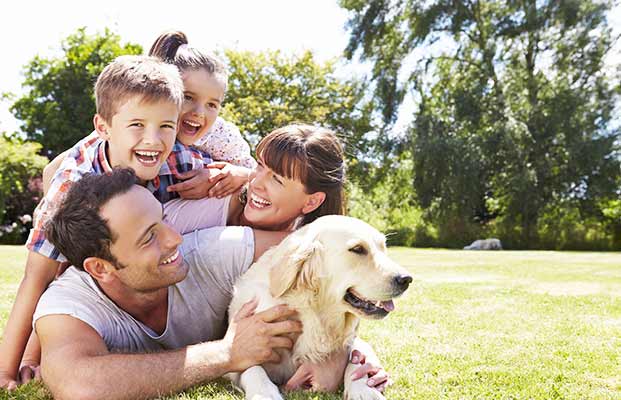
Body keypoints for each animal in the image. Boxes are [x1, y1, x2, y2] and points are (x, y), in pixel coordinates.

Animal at [225, 216, 410, 400]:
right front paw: (265, 393)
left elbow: (356, 358)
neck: (313, 315)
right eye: (358, 249)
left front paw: (364, 390)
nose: (406, 279)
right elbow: (252, 368)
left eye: (383, 248)